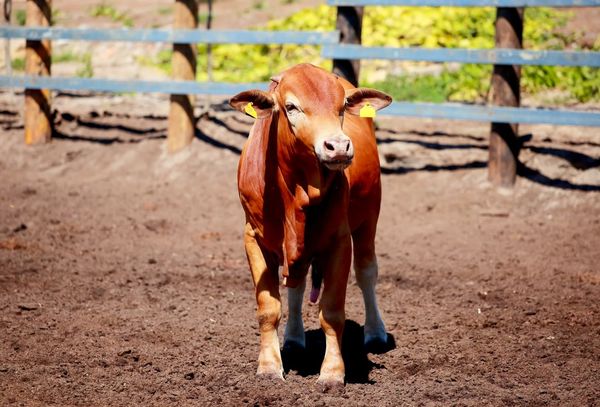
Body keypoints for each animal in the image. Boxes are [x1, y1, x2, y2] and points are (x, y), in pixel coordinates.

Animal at [230, 63, 394, 386]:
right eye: (291, 106)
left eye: (341, 106)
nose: (338, 146)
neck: (295, 191)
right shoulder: (253, 237)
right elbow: (268, 308)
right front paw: (269, 365)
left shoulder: (339, 240)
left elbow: (331, 312)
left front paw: (332, 372)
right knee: (297, 283)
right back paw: (294, 338)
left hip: (370, 215)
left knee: (367, 272)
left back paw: (375, 331)